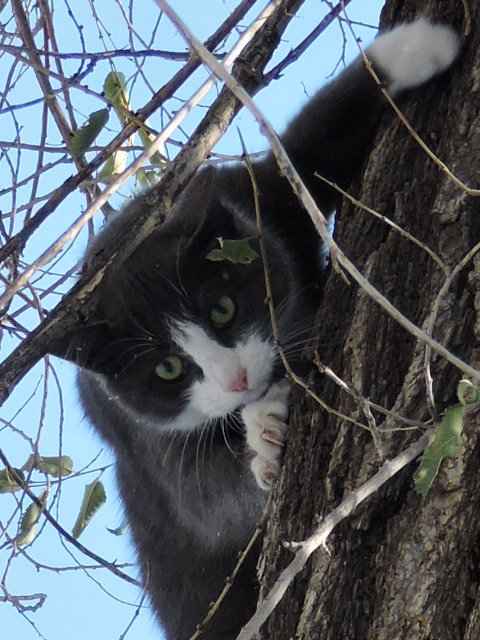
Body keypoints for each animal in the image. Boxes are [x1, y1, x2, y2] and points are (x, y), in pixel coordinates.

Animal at [51, 17, 458, 640]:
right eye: (166, 368)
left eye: (222, 308)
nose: (238, 381)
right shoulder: (139, 438)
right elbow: (209, 499)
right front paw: (266, 433)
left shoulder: (251, 192)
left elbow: (306, 151)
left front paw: (417, 46)